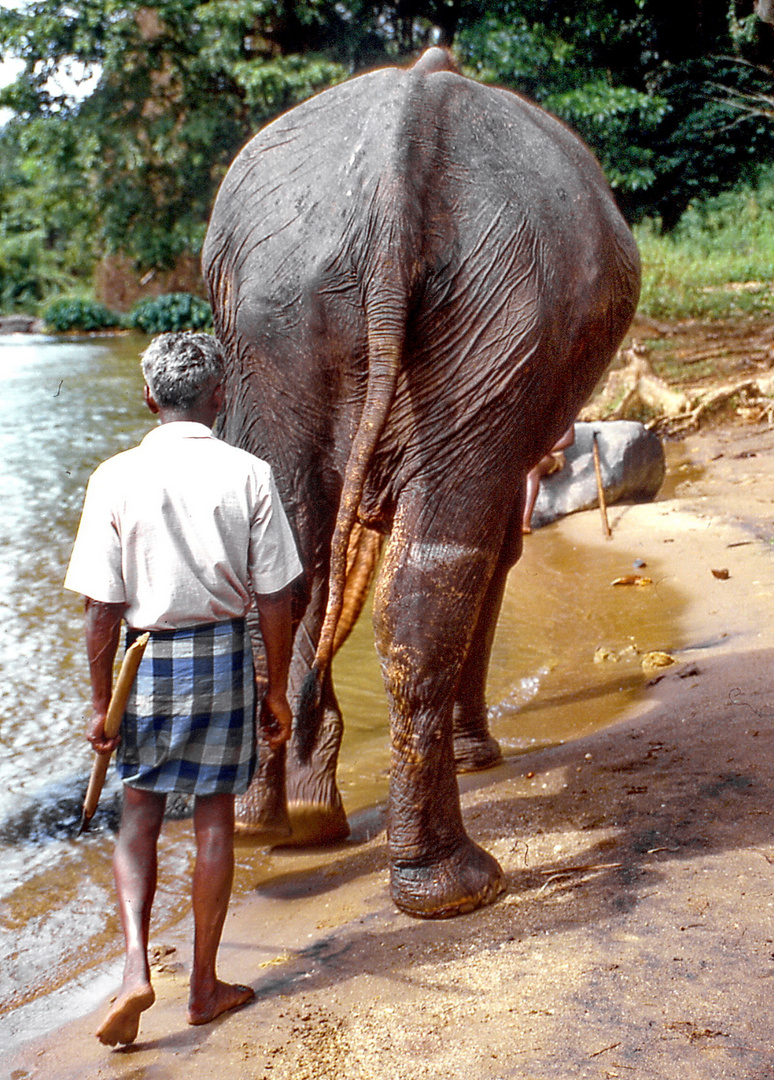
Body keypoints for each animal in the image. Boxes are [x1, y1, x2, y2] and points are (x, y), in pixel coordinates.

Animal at [200, 46, 639, 915]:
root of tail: (398, 151)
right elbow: (499, 550)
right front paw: (479, 757)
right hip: (498, 317)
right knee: (434, 569)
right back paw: (455, 883)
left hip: (286, 319)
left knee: (294, 561)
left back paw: (282, 825)